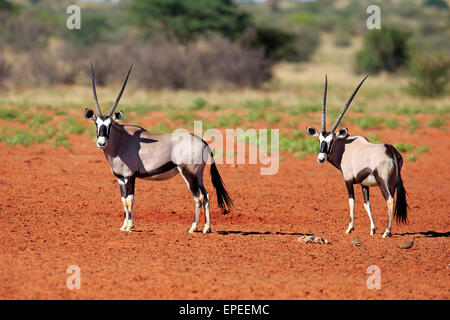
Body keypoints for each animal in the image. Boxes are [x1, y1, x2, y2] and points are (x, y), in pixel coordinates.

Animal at [83, 63, 232, 232]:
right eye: (97, 124)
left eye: (109, 125)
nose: (101, 142)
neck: (121, 141)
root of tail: (203, 143)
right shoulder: (121, 179)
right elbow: (123, 200)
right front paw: (123, 226)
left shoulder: (130, 176)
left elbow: (130, 200)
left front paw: (129, 227)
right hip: (198, 175)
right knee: (206, 196)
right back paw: (207, 228)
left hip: (188, 173)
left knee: (198, 197)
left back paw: (193, 228)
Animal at [306, 75, 408, 238]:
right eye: (319, 140)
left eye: (331, 140)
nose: (321, 158)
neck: (346, 148)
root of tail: (391, 151)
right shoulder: (363, 184)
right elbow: (367, 204)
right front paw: (372, 229)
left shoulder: (348, 180)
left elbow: (351, 201)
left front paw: (349, 228)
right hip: (392, 183)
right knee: (391, 199)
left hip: (382, 181)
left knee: (390, 200)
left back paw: (386, 232)